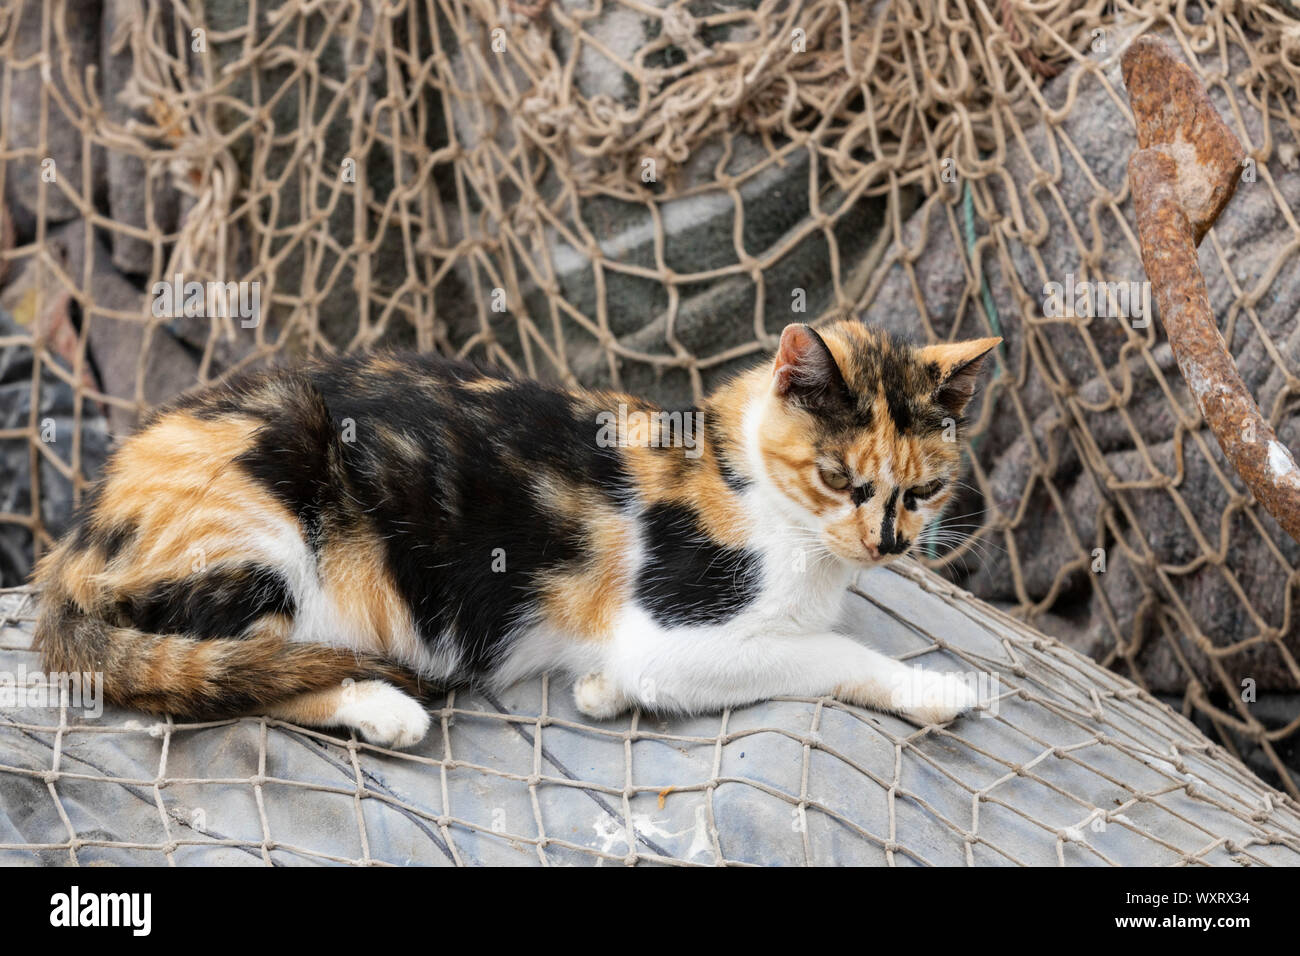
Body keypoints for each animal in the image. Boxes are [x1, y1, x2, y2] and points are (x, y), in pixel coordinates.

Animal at [35, 321, 998, 749]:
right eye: (841, 479)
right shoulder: (672, 630)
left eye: (924, 489)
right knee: (218, 677)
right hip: (265, 517)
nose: (887, 545)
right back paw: (382, 708)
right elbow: (826, 653)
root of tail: (76, 542)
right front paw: (934, 689)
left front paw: (603, 694)